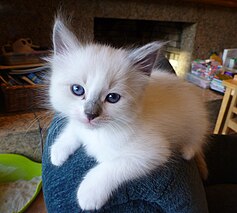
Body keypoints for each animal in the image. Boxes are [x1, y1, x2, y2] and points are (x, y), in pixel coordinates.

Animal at [48, 18, 209, 211]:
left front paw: (88, 193)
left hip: (196, 121)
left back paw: (187, 151)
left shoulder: (152, 152)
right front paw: (58, 152)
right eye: (77, 90)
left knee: (196, 141)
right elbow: (74, 128)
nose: (90, 114)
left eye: (112, 98)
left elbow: (111, 167)